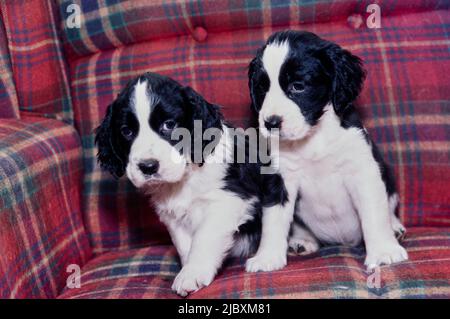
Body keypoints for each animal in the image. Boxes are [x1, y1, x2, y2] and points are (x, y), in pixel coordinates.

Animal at [96, 73, 290, 298]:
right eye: (126, 131)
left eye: (169, 125)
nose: (148, 166)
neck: (185, 177)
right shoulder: (173, 216)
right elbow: (184, 245)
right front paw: (189, 269)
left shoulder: (228, 200)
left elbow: (204, 238)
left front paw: (192, 274)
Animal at [248, 30, 410, 270]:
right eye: (262, 88)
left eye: (298, 86)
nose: (271, 122)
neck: (314, 136)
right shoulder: (279, 178)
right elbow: (274, 220)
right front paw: (267, 257)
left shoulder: (363, 170)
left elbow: (374, 214)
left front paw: (383, 251)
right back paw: (302, 239)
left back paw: (396, 227)